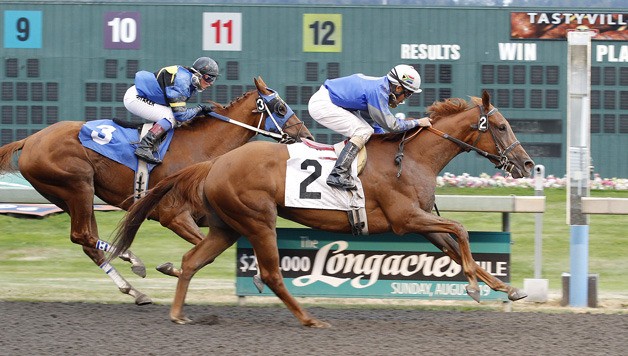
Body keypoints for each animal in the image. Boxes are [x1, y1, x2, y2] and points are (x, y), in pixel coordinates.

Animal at [0, 76, 314, 304]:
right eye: (281, 108)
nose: (306, 136)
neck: (202, 148)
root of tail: (31, 140)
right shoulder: (174, 215)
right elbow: (203, 251)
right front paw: (171, 268)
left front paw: (258, 275)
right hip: (78, 186)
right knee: (83, 235)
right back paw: (134, 260)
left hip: (71, 196)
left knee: (88, 242)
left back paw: (135, 288)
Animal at [110, 90, 532, 326]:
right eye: (501, 126)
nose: (527, 165)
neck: (412, 158)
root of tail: (215, 163)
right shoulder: (406, 218)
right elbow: (460, 230)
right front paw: (477, 287)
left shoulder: (423, 222)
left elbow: (460, 249)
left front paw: (506, 288)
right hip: (257, 219)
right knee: (270, 273)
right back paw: (308, 318)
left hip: (227, 226)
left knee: (193, 260)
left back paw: (178, 313)